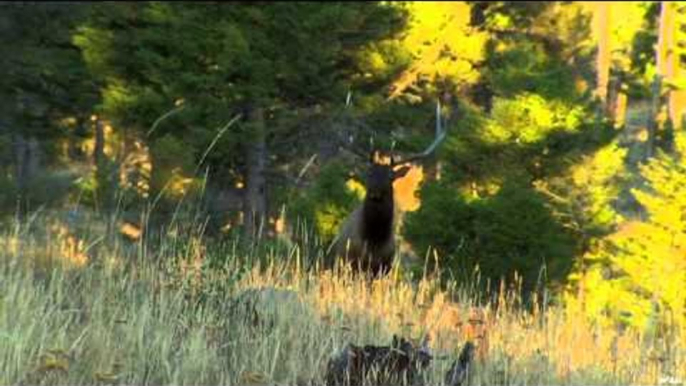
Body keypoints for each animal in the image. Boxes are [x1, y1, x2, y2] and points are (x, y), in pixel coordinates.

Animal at [326, 101, 448, 276]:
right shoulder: (352, 261)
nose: (375, 193)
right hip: (337, 262)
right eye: (369, 172)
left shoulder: (384, 266)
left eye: (391, 176)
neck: (374, 242)